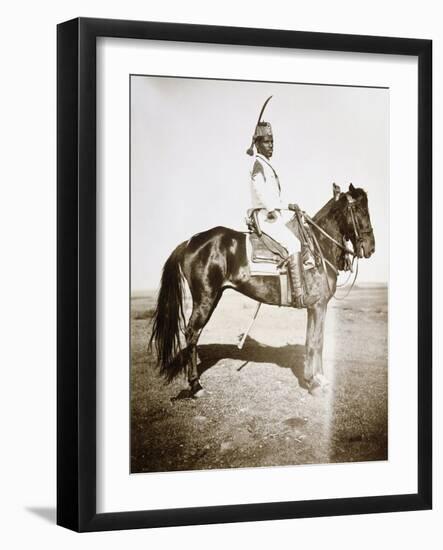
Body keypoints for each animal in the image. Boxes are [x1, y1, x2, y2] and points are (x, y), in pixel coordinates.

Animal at [149, 184, 374, 396]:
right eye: (360, 210)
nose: (371, 248)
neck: (319, 245)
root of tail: (189, 242)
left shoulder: (314, 307)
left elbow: (311, 340)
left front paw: (314, 379)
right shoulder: (318, 306)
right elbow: (316, 342)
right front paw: (316, 382)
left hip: (213, 296)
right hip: (205, 298)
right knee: (192, 333)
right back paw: (196, 386)